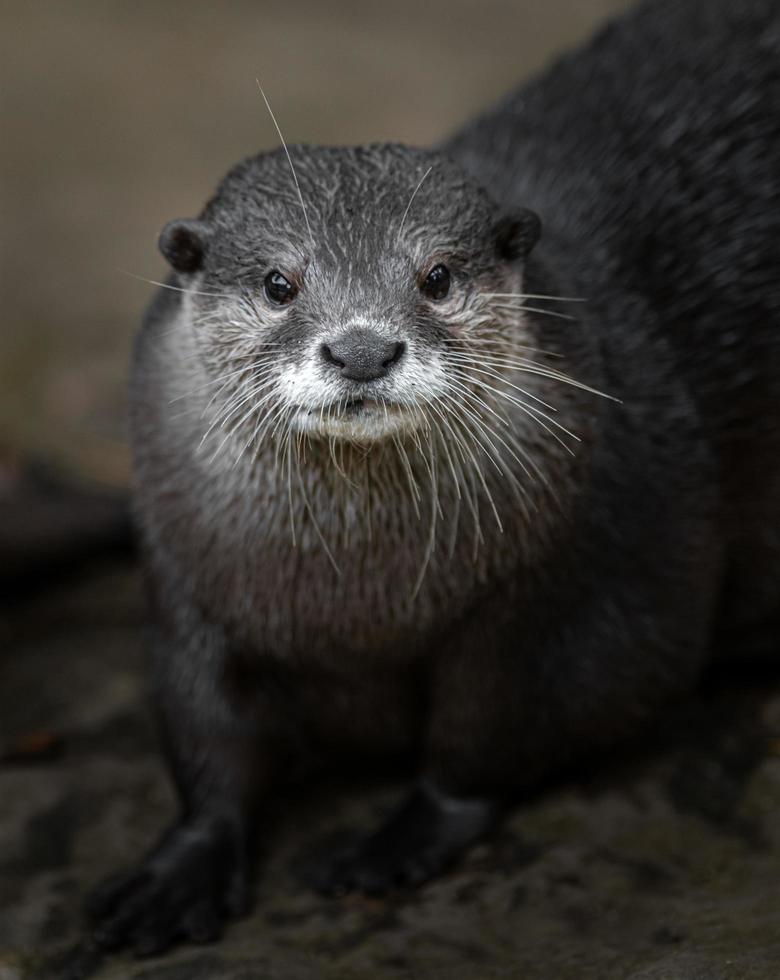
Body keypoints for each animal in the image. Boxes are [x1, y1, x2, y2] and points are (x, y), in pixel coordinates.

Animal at [85, 0, 780, 956]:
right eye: (278, 283)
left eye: (438, 276)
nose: (362, 349)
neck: (352, 606)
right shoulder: (189, 593)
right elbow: (206, 734)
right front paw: (181, 866)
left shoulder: (566, 596)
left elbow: (496, 734)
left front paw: (400, 841)